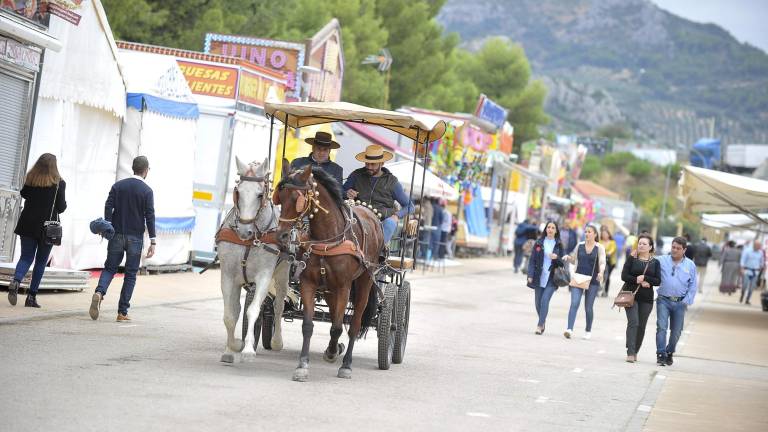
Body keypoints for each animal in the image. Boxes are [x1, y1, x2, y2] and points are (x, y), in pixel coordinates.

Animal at [219, 157, 288, 362]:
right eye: (238, 192)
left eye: (259, 195)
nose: (245, 231)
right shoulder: (227, 275)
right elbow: (230, 314)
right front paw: (232, 347)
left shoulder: (264, 276)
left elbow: (253, 310)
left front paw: (248, 348)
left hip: (283, 273)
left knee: (279, 305)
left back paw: (276, 341)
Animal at [276, 164, 384, 380]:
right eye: (280, 197)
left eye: (298, 199)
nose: (282, 235)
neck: (328, 238)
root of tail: (372, 215)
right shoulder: (309, 283)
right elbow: (309, 325)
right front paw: (303, 364)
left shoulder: (343, 286)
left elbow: (337, 328)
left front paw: (337, 357)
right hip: (328, 289)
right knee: (336, 315)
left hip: (364, 281)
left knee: (354, 323)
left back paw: (346, 363)